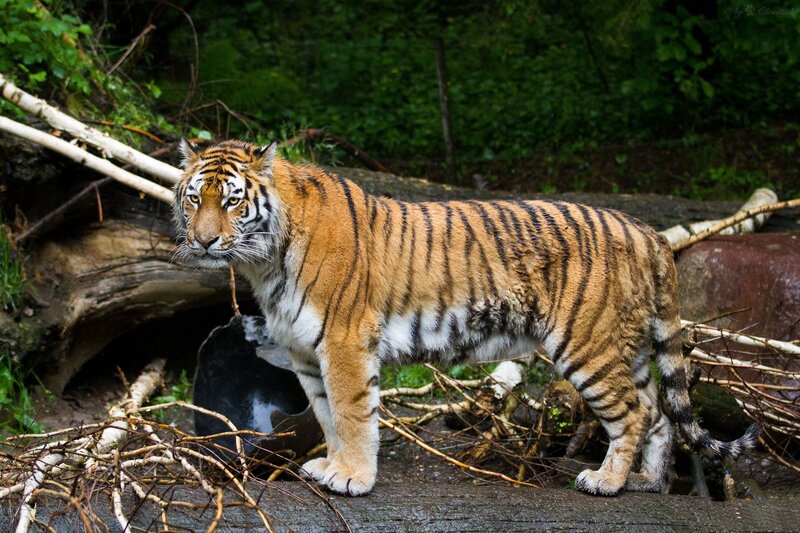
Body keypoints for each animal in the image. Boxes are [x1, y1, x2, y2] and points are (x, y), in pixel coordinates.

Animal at [173, 140, 758, 497]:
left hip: (587, 345)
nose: (203, 241)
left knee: (634, 414)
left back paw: (607, 482)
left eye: (232, 201)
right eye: (193, 198)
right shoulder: (304, 351)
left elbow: (353, 414)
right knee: (658, 412)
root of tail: (646, 230)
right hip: (626, 347)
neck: (264, 260)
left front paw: (355, 478)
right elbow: (326, 415)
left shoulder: (344, 341)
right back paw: (647, 482)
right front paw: (330, 467)